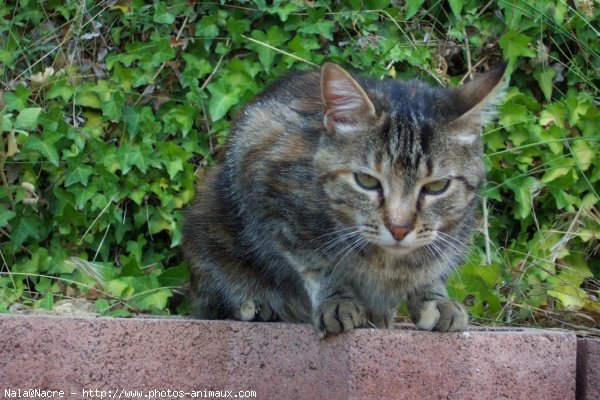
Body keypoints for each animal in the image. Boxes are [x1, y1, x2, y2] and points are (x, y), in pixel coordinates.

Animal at [183, 61, 506, 338]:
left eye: (437, 186)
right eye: (366, 181)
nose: (399, 229)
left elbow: (432, 265)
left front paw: (433, 297)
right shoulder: (269, 196)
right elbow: (317, 262)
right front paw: (337, 299)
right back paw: (254, 306)